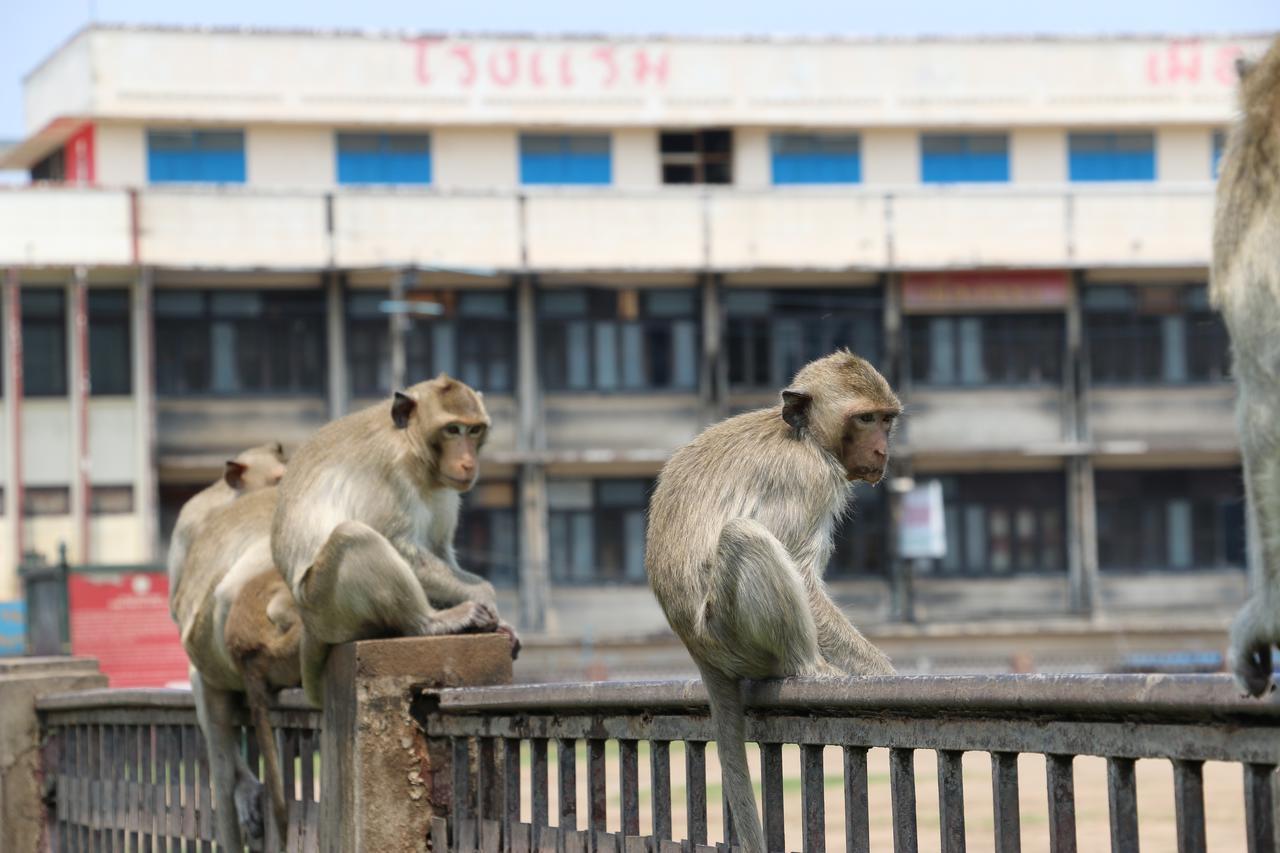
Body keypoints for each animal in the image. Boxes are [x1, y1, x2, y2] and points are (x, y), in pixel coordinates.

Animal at [272, 371, 517, 701]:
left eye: (474, 429)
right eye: (452, 429)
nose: (468, 463)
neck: (414, 450)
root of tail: (308, 623)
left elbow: (438, 548)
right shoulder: (389, 469)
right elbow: (396, 543)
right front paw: (485, 594)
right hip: (323, 604)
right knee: (354, 537)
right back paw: (430, 622)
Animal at [645, 348, 896, 850]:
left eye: (886, 419)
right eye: (864, 418)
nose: (882, 450)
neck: (804, 438)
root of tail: (695, 647)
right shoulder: (809, 480)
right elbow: (801, 572)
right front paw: (884, 674)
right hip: (729, 635)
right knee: (745, 537)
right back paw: (809, 667)